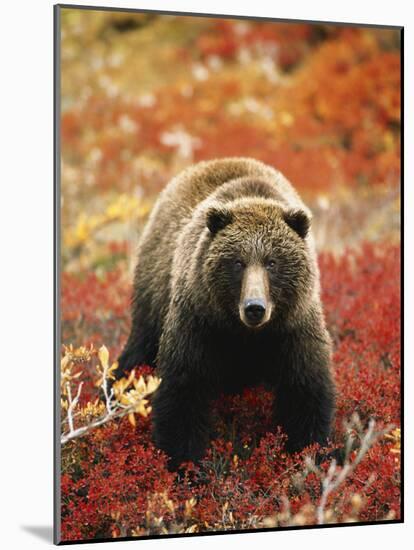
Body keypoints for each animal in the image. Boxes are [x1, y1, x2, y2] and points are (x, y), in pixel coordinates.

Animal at [114, 158, 336, 470]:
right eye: (237, 262)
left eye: (272, 262)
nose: (254, 307)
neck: (245, 334)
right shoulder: (200, 322)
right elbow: (183, 391)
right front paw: (185, 464)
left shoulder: (293, 329)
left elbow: (305, 392)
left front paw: (310, 456)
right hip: (154, 294)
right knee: (138, 351)